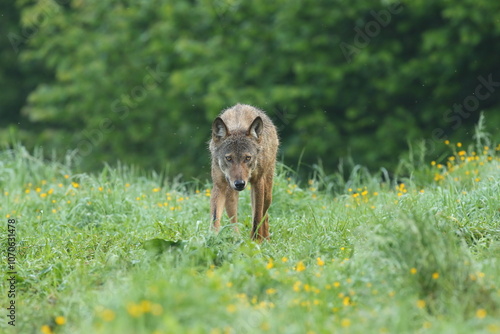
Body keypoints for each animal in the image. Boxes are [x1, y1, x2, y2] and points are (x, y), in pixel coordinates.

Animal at [209, 103, 280, 240]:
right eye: (228, 158)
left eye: (247, 158)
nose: (240, 184)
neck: (237, 125)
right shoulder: (219, 185)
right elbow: (215, 218)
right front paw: (212, 239)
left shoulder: (257, 183)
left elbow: (256, 218)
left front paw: (255, 241)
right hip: (230, 195)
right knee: (234, 220)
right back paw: (237, 237)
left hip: (267, 193)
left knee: (264, 214)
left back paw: (266, 239)